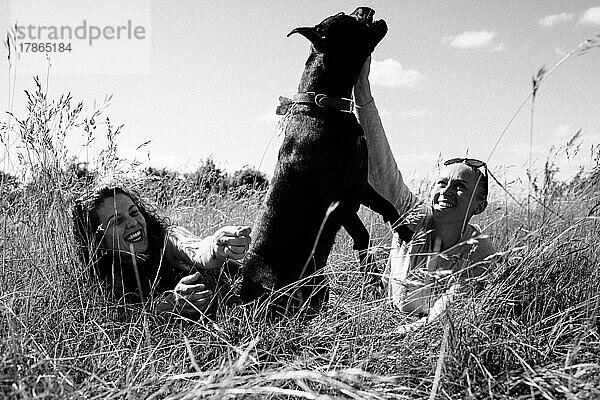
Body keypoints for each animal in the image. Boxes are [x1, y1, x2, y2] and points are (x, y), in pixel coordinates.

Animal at [239, 6, 412, 318]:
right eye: (345, 17)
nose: (365, 9)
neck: (327, 105)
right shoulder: (339, 199)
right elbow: (362, 234)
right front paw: (370, 274)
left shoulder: (359, 185)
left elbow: (387, 206)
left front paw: (404, 228)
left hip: (320, 284)